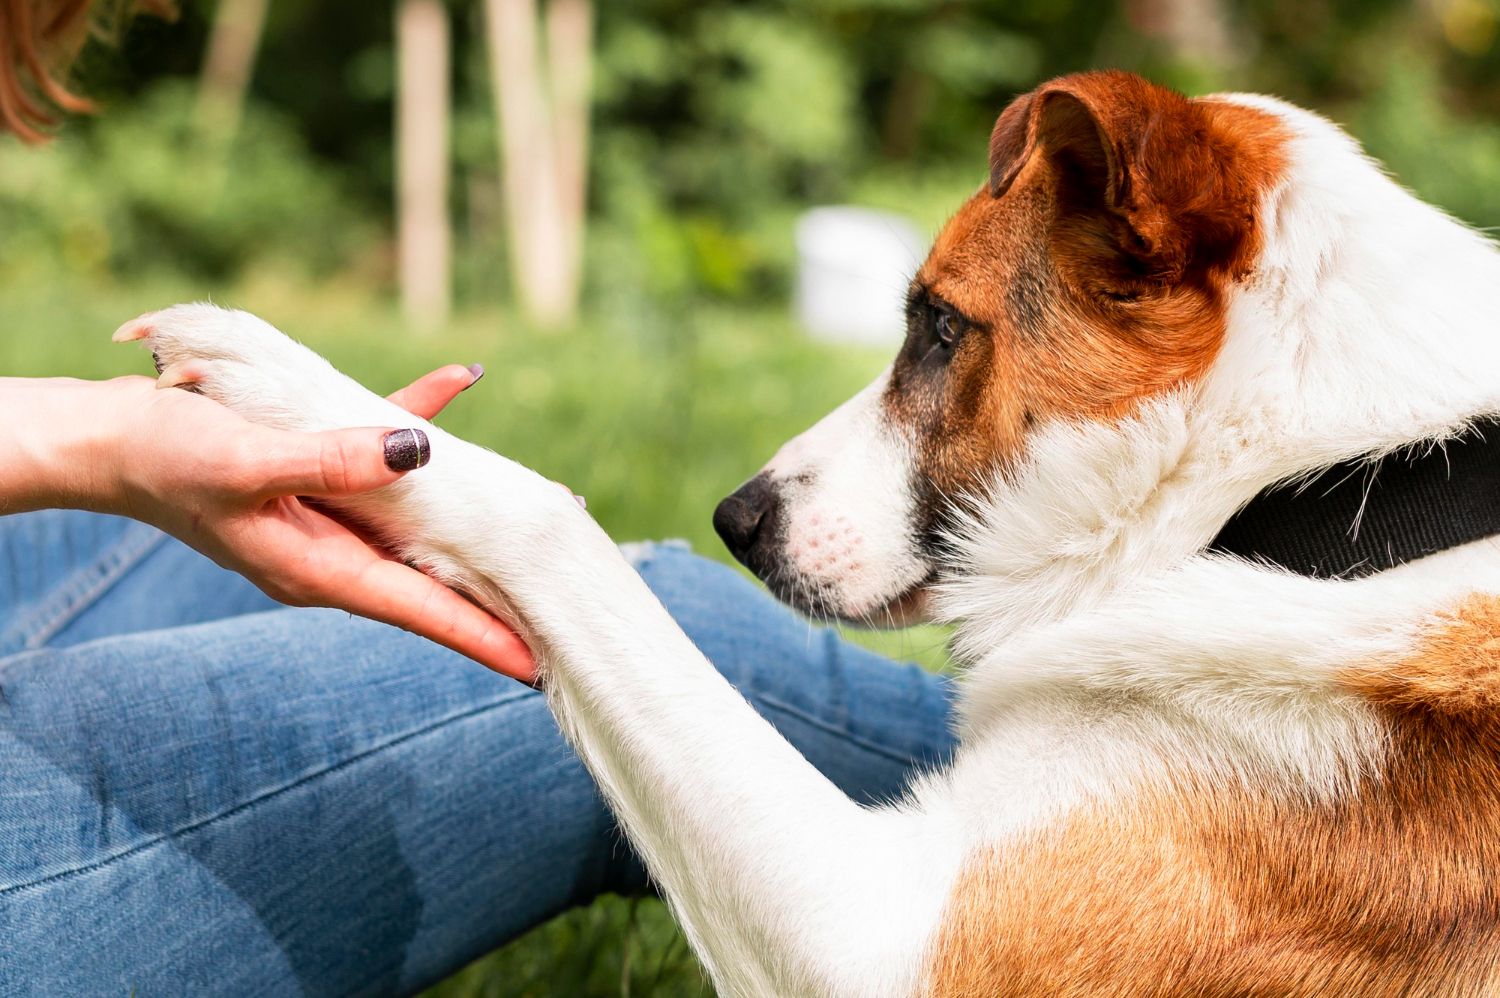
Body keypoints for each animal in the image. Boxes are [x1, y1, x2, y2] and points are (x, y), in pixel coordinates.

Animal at [114, 68, 1500, 990]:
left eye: (937, 328)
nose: (734, 521)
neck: (1322, 492)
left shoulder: (875, 941)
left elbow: (555, 524)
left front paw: (301, 391)